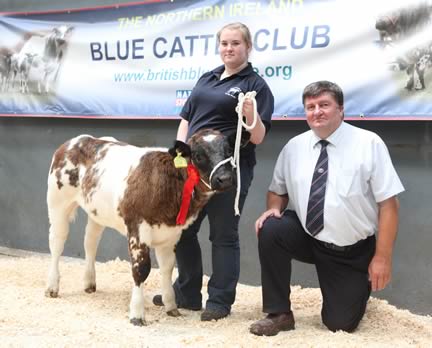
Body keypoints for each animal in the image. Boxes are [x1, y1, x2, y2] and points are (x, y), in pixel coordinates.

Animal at [44, 129, 236, 324]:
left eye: (229, 151)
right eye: (198, 155)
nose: (225, 179)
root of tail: (77, 140)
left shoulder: (171, 235)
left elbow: (167, 268)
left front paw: (171, 307)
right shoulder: (137, 229)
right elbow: (141, 269)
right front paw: (137, 314)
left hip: (96, 211)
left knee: (90, 241)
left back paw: (89, 283)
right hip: (58, 203)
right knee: (57, 242)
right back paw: (52, 287)